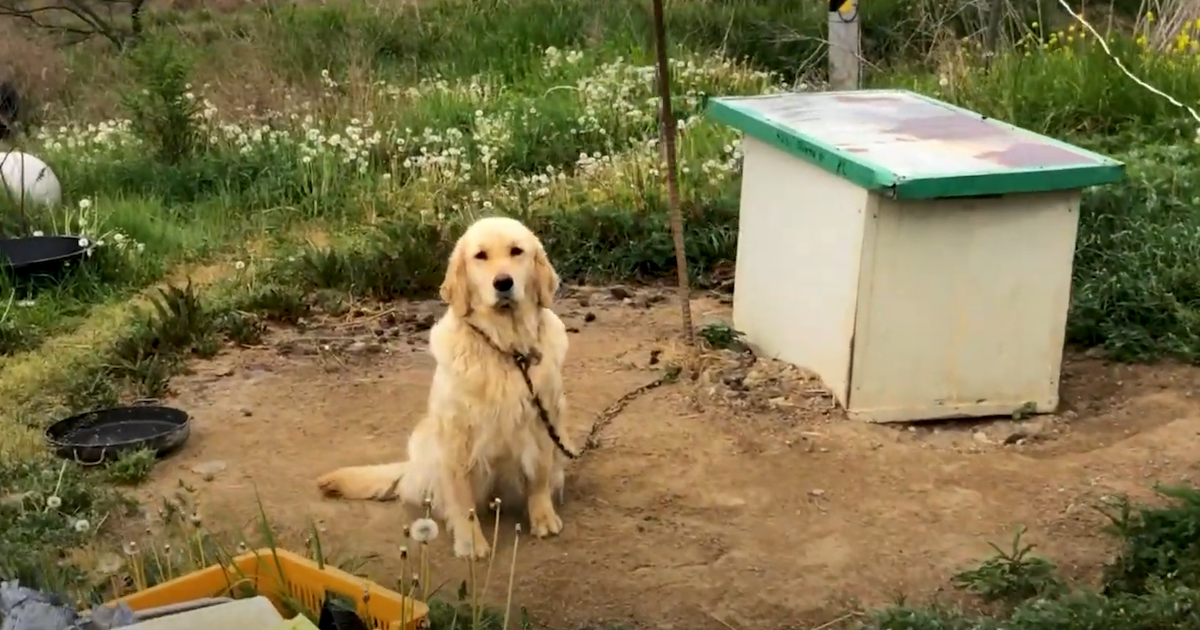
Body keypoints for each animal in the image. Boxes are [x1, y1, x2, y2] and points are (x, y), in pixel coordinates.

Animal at [314, 214, 576, 554]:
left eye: (517, 251)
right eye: (481, 256)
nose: (503, 283)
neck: (506, 346)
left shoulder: (543, 420)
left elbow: (539, 477)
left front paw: (543, 516)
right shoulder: (456, 434)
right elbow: (461, 496)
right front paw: (470, 540)